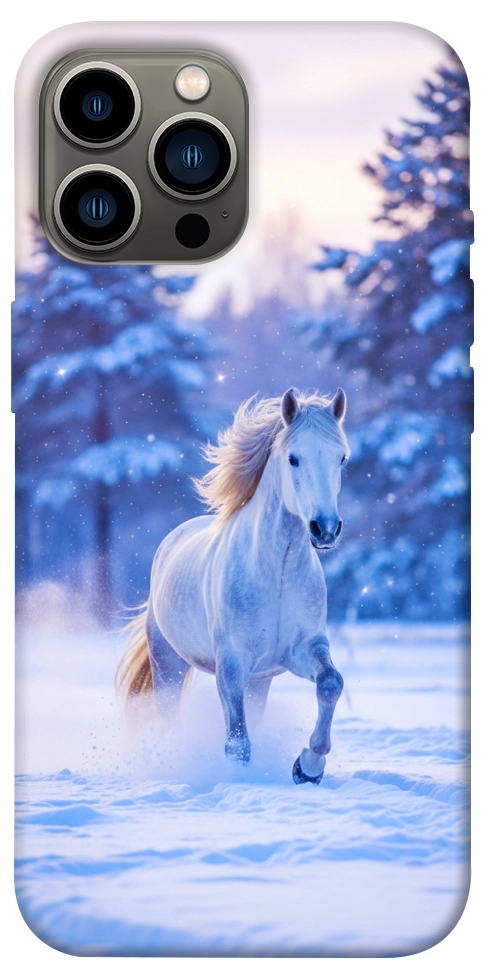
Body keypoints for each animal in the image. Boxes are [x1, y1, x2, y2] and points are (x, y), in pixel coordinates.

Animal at [118, 387, 350, 784]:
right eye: (294, 458)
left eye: (341, 459)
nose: (325, 529)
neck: (277, 573)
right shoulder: (231, 664)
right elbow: (237, 742)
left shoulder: (301, 649)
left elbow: (331, 683)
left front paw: (308, 767)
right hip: (168, 665)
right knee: (170, 717)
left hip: (259, 681)